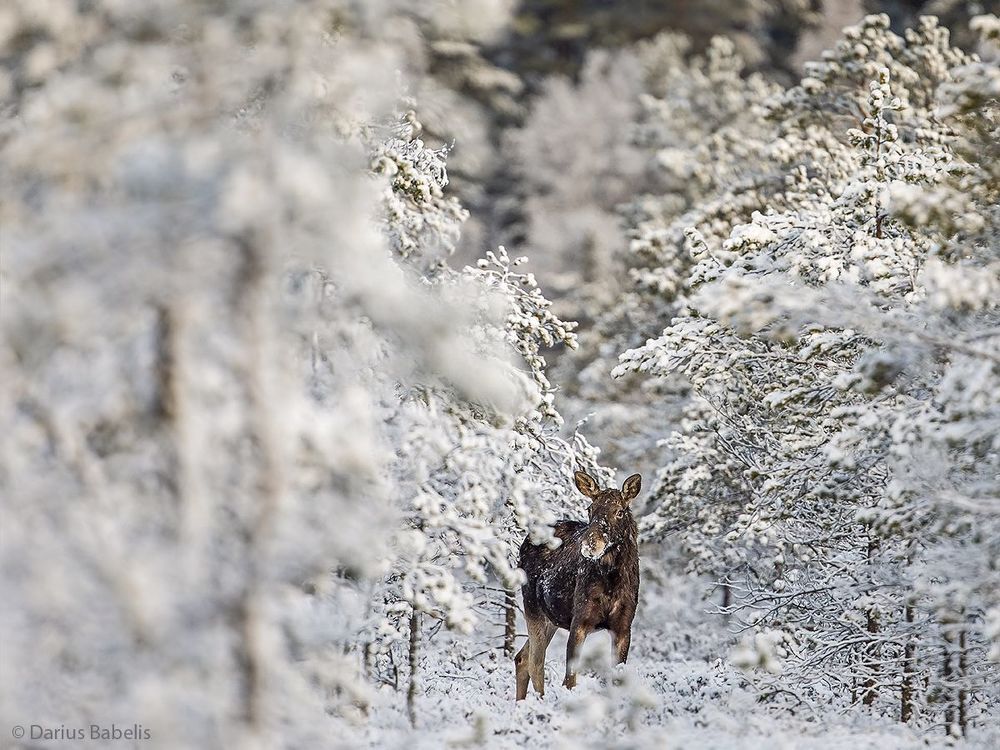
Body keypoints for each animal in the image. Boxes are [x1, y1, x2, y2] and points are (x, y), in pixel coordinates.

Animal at [514, 470, 641, 700]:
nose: (590, 544)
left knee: (522, 657)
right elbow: (570, 681)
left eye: (619, 511)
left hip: (552, 618)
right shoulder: (579, 620)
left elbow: (617, 680)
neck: (612, 582)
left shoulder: (623, 626)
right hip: (532, 607)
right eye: (590, 509)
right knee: (536, 661)